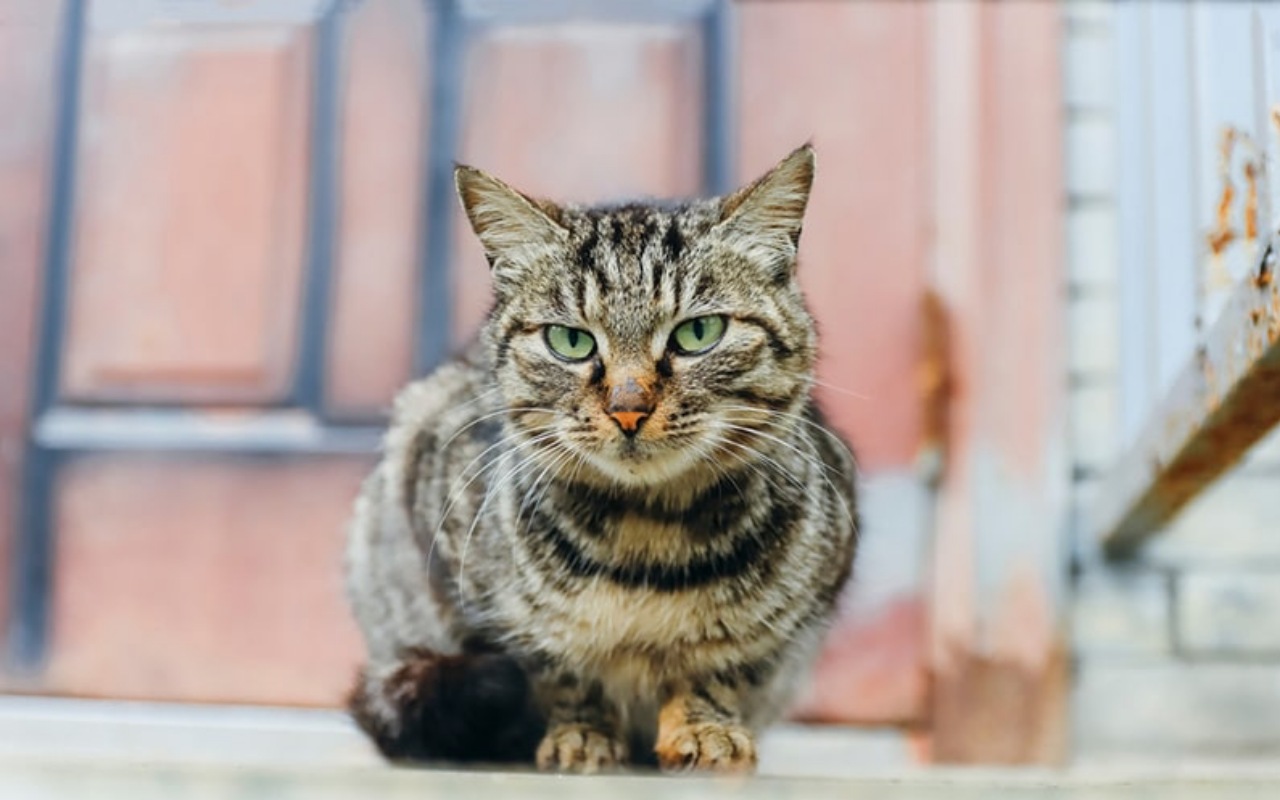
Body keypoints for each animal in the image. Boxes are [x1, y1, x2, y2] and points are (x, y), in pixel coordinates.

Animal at [345, 145, 855, 773]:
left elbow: (721, 665)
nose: (628, 408)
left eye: (699, 332)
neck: (648, 535)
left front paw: (706, 730)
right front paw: (581, 736)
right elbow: (559, 669)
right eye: (571, 341)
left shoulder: (792, 613)